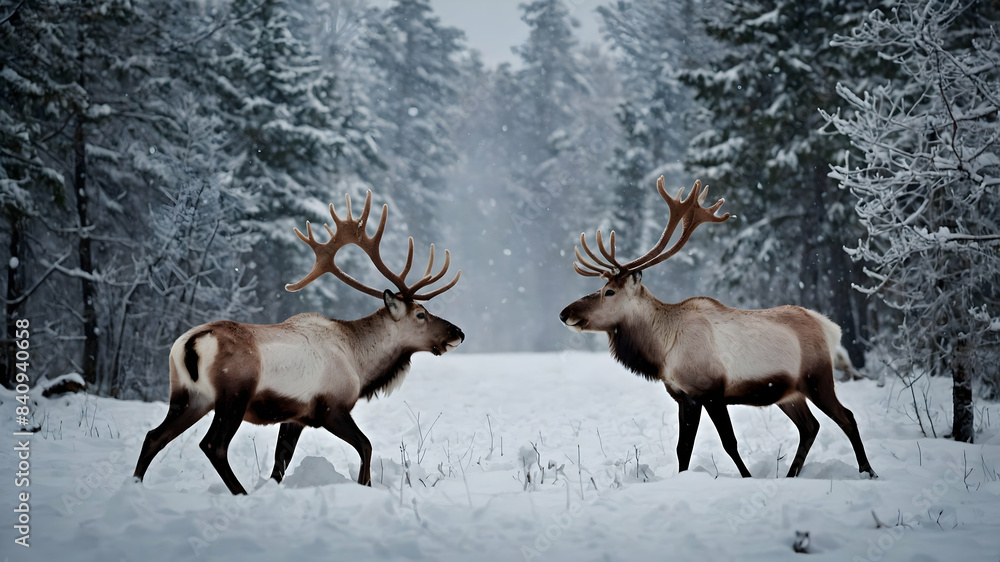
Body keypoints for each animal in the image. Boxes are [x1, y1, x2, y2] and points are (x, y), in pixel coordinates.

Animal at [133, 191, 465, 495]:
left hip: (187, 395)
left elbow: (281, 463)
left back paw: (135, 484)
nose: (458, 333)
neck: (361, 363)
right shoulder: (331, 407)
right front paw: (366, 486)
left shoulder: (296, 416)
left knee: (154, 436)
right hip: (233, 395)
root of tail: (191, 343)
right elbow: (366, 445)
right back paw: (240, 493)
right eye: (421, 314)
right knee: (213, 444)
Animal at [559, 177, 875, 479]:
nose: (565, 313)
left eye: (609, 291)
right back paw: (791, 475)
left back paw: (867, 471)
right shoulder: (683, 396)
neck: (662, 350)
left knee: (847, 417)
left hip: (817, 378)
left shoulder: (711, 390)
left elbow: (729, 443)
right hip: (789, 392)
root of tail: (830, 328)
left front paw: (747, 477)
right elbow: (683, 448)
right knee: (810, 427)